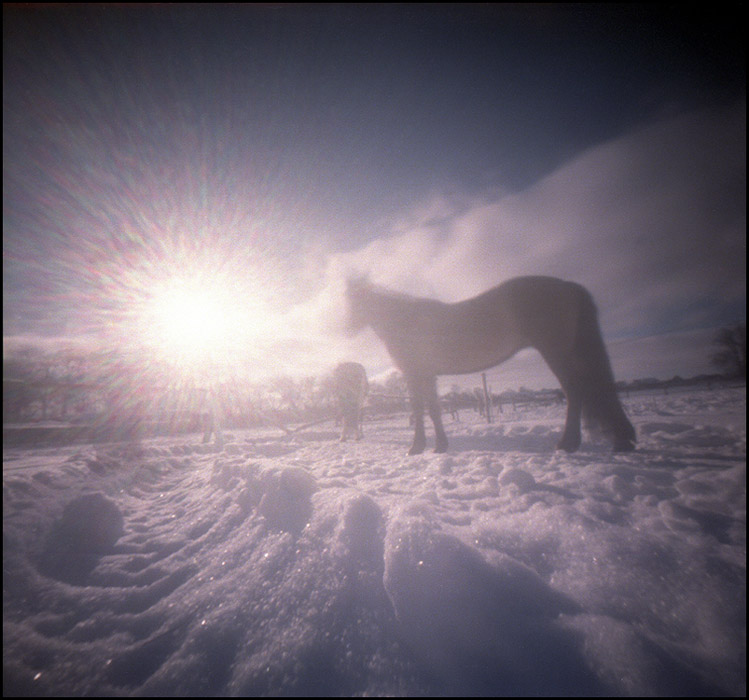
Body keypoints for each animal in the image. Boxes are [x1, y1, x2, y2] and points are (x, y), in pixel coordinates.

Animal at [344, 274, 632, 454]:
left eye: (355, 302)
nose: (346, 329)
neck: (405, 321)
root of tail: (568, 287)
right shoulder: (428, 375)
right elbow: (434, 409)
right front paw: (440, 446)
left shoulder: (415, 374)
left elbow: (420, 409)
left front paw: (415, 448)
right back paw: (621, 440)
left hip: (556, 353)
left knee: (575, 392)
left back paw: (567, 444)